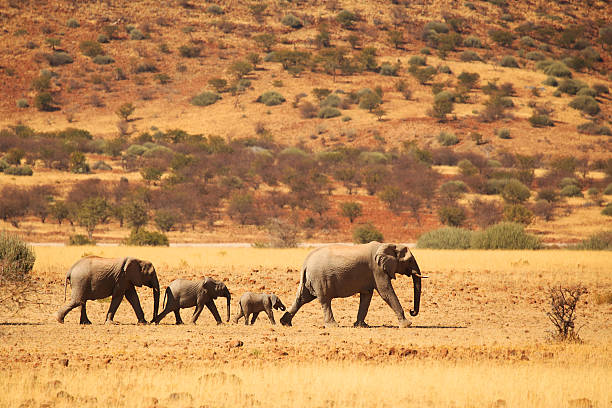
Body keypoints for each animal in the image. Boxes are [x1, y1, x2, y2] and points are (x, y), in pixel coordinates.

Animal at [280, 242, 424, 328]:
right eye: (409, 260)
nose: (412, 311)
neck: (389, 245)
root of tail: (306, 261)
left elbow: (366, 296)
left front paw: (361, 325)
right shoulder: (377, 270)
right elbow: (386, 292)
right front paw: (407, 325)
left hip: (311, 279)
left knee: (302, 298)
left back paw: (285, 323)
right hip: (320, 278)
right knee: (325, 300)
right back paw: (333, 326)